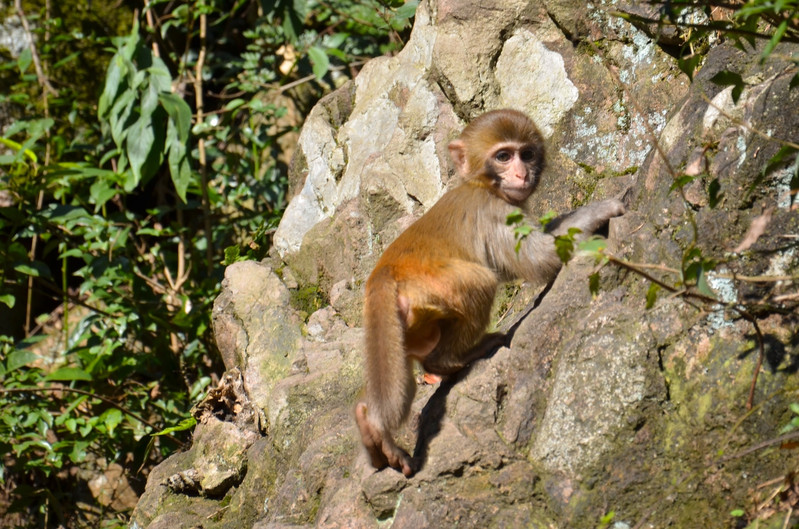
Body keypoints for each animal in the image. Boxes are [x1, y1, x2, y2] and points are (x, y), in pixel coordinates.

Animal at [356, 109, 624, 476]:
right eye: (503, 156)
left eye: (527, 154)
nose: (522, 173)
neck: (480, 184)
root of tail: (384, 272)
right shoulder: (494, 212)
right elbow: (536, 260)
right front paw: (598, 211)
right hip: (434, 287)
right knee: (482, 281)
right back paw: (450, 361)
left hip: (407, 325)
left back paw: (372, 427)